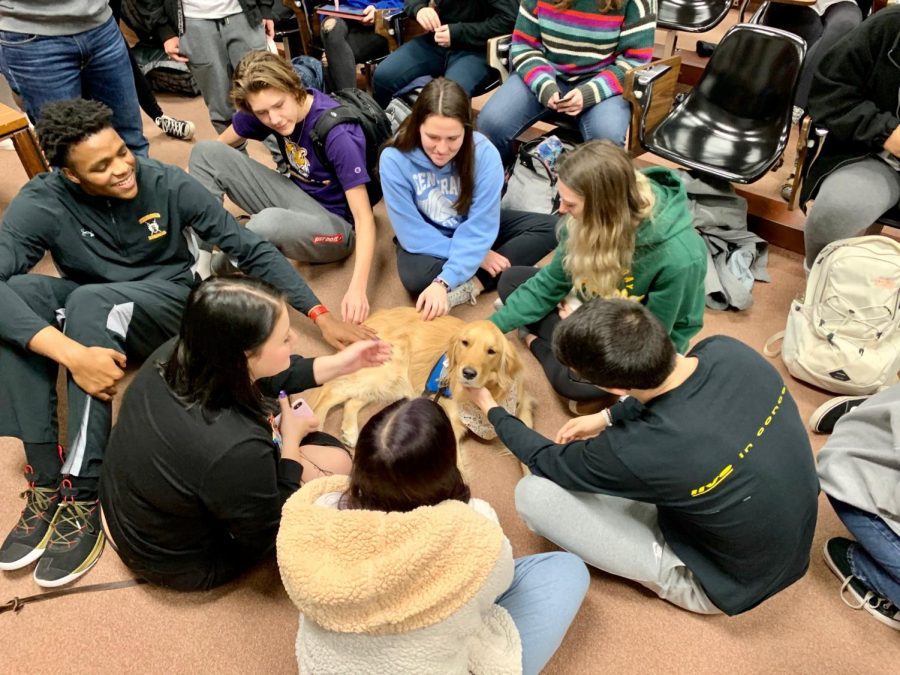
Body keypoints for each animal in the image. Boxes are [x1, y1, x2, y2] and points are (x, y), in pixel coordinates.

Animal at [310, 306, 536, 476]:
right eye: (465, 343)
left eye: (491, 351)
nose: (468, 373)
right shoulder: (450, 419)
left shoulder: (521, 409)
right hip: (382, 373)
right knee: (330, 392)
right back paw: (316, 428)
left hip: (391, 383)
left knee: (351, 400)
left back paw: (350, 431)